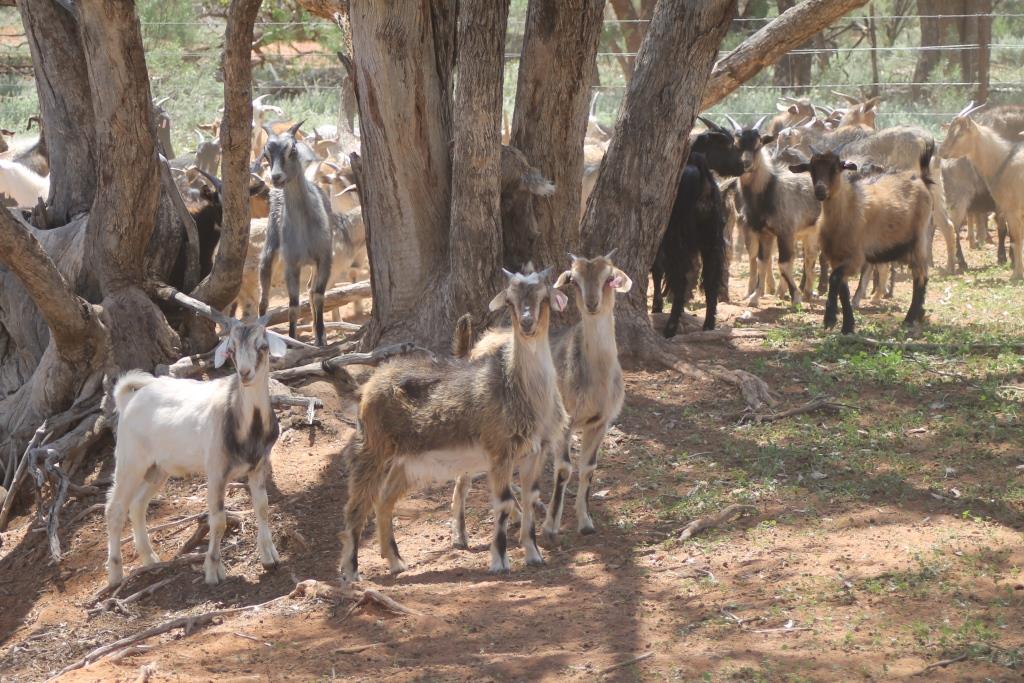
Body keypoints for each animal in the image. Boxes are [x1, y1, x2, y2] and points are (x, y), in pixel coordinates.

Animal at [105, 318, 288, 587]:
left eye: (263, 346)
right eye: (231, 350)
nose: (245, 373)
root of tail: (129, 399)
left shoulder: (258, 466)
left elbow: (263, 507)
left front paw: (269, 557)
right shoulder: (216, 472)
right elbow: (218, 521)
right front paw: (212, 570)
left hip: (157, 469)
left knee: (137, 505)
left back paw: (150, 558)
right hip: (131, 461)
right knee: (115, 509)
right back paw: (116, 575)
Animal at [257, 122, 333, 346]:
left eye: (292, 150)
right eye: (266, 153)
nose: (276, 177)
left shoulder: (324, 258)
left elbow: (318, 295)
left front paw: (320, 339)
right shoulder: (291, 264)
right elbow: (293, 305)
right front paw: (293, 341)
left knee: (310, 289)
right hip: (270, 249)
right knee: (263, 300)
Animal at [340, 269, 569, 582]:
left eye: (543, 297)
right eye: (509, 300)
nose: (526, 323)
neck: (517, 387)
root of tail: (366, 389)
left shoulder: (535, 451)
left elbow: (531, 497)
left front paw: (534, 555)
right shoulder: (499, 451)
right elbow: (504, 502)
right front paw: (499, 561)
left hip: (408, 462)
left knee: (384, 500)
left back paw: (397, 562)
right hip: (373, 449)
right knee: (356, 506)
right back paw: (351, 572)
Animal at [789, 145, 933, 334]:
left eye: (836, 168)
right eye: (812, 169)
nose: (820, 190)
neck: (845, 211)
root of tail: (921, 179)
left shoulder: (855, 259)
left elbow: (834, 279)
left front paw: (830, 319)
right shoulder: (837, 258)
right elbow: (843, 290)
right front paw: (847, 326)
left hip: (919, 240)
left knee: (920, 276)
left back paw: (910, 319)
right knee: (921, 275)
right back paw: (920, 314)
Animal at [940, 102, 1024, 279]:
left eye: (960, 134)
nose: (941, 151)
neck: (1004, 160)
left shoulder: (1013, 210)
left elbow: (1016, 237)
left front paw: (1016, 272)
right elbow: (1015, 237)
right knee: (953, 229)